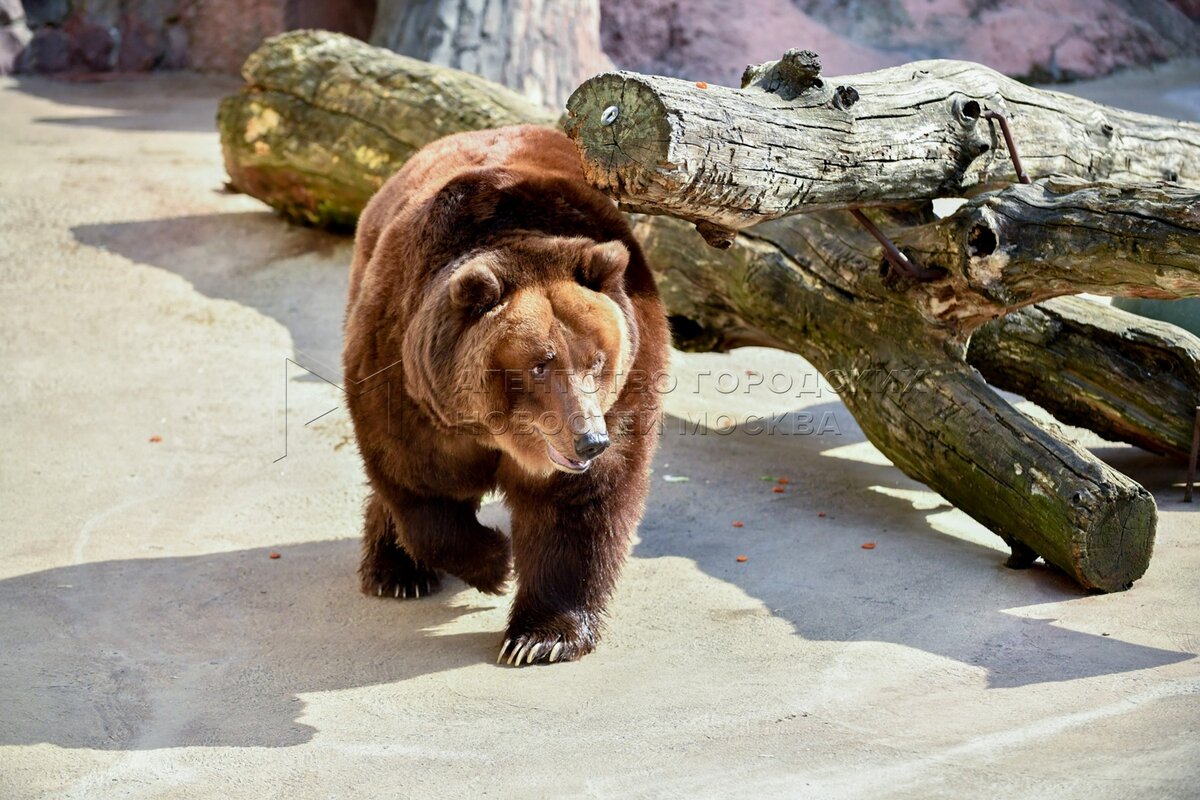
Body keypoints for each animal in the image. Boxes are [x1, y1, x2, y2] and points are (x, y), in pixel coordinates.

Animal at [343, 123, 672, 662]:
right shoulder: (406, 382)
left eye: (597, 360)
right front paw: (495, 562)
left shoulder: (630, 377)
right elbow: (417, 481)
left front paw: (541, 638)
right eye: (540, 364)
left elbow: (579, 504)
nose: (589, 440)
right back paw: (395, 571)